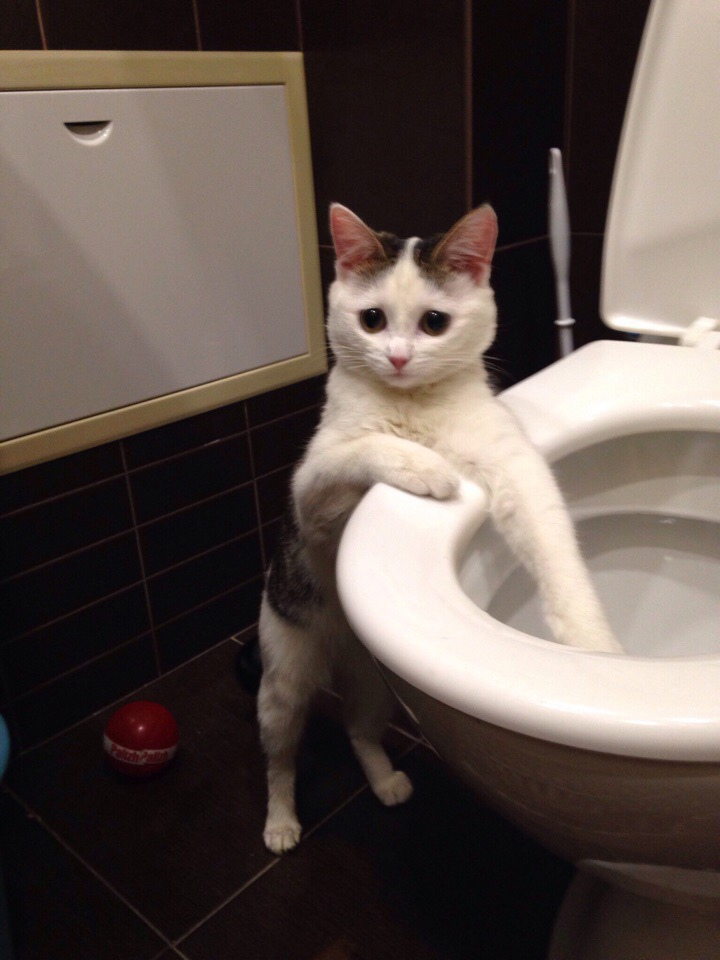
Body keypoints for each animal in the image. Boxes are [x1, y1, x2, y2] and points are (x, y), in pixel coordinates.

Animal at [257, 202, 622, 854]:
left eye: (434, 322)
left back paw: (385, 782)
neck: (413, 407)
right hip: (283, 678)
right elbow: (368, 448)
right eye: (372, 319)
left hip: (377, 685)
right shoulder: (310, 490)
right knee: (281, 757)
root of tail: (339, 653)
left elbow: (556, 553)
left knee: (358, 729)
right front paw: (427, 468)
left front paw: (594, 647)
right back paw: (279, 822)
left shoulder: (517, 467)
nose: (399, 357)